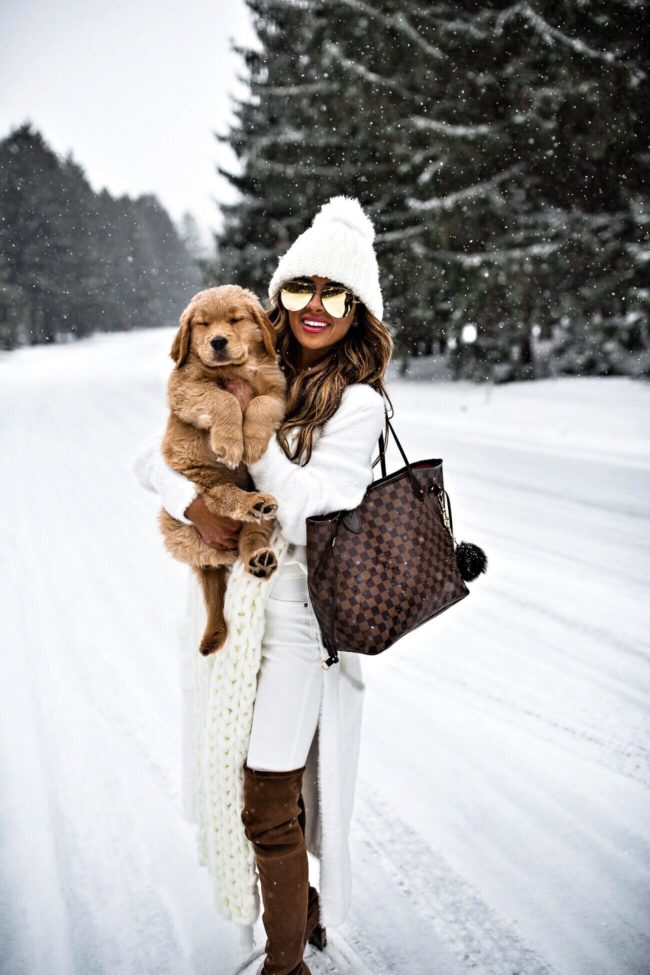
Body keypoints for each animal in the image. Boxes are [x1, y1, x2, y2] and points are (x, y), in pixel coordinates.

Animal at [158, 284, 284, 656]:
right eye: (202, 324)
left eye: (235, 319)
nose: (217, 342)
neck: (235, 369)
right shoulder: (186, 387)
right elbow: (223, 399)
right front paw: (231, 443)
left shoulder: (277, 388)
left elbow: (260, 403)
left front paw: (252, 442)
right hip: (203, 488)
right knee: (226, 498)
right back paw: (251, 505)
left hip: (261, 517)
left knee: (252, 535)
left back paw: (259, 554)